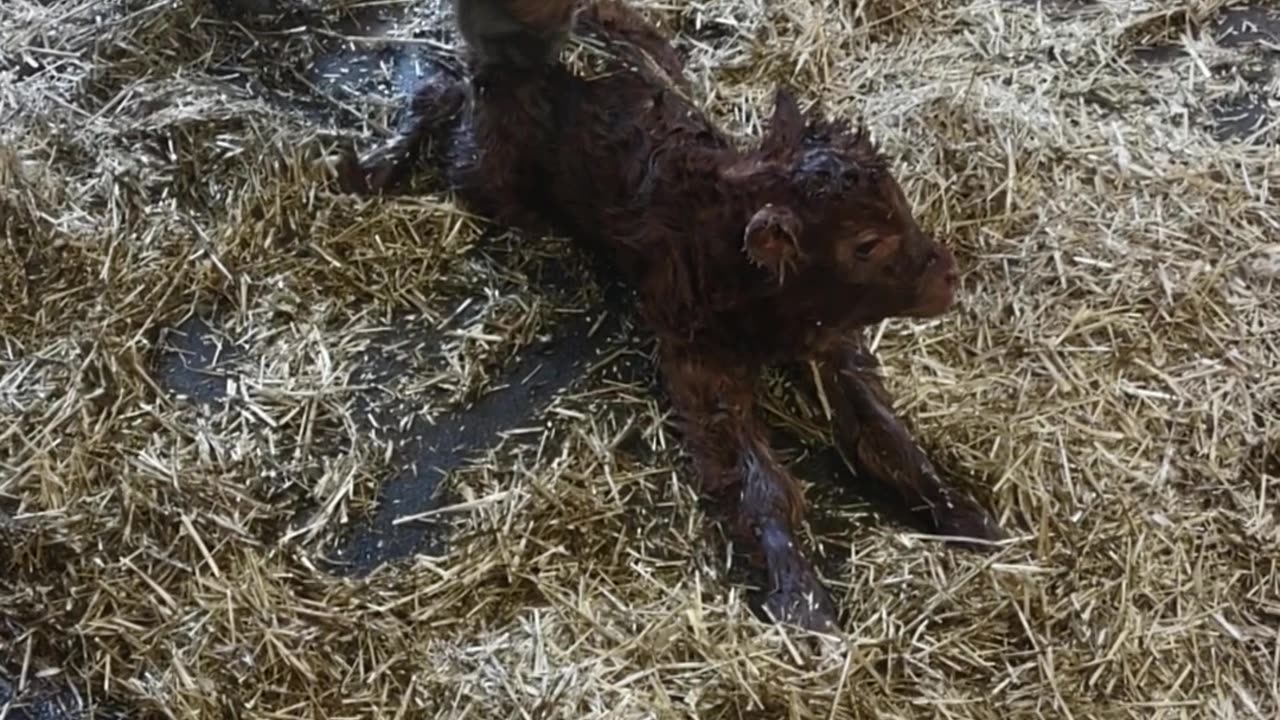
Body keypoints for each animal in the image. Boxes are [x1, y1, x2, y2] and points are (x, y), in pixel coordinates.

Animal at [340, 0, 998, 627]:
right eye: (864, 244)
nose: (948, 274)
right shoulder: (698, 364)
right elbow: (759, 485)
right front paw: (803, 603)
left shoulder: (834, 346)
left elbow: (887, 436)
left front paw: (971, 519)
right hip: (488, 174)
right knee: (444, 96)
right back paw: (375, 162)